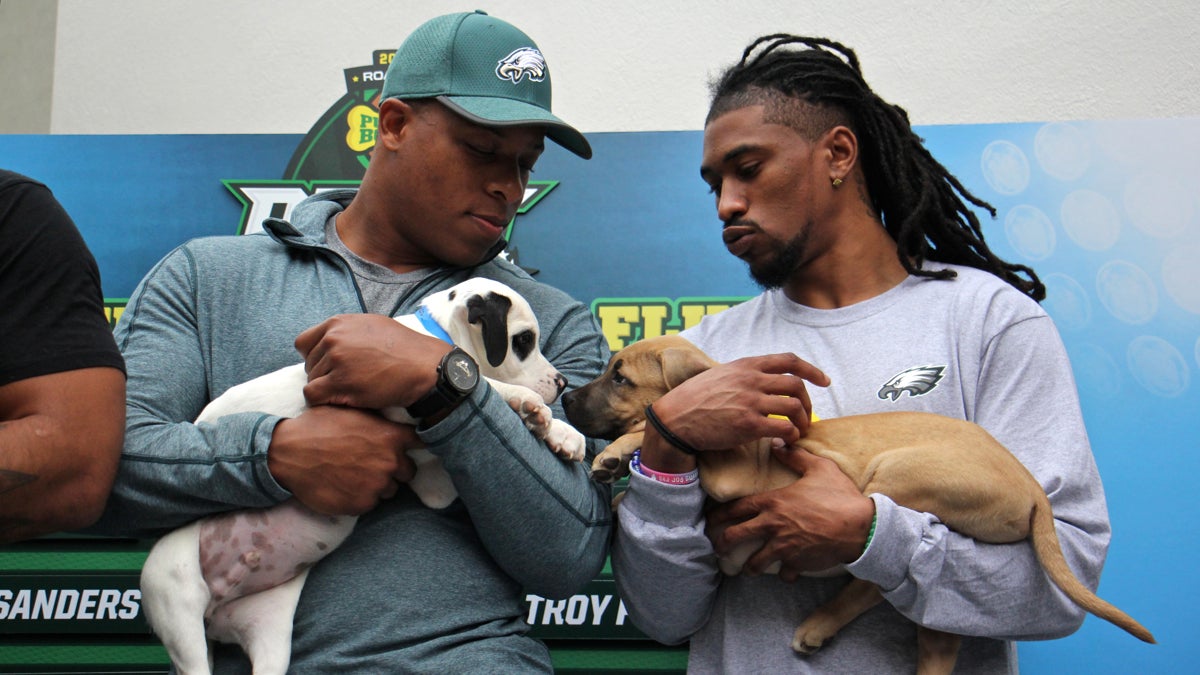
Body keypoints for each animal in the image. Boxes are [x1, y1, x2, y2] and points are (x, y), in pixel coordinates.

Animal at [561, 333, 1152, 667]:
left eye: (620, 377)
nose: (565, 397)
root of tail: (1032, 489)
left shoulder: (736, 473)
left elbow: (656, 426)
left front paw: (618, 452)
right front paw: (619, 487)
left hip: (894, 477)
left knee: (873, 571)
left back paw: (818, 625)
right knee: (936, 641)